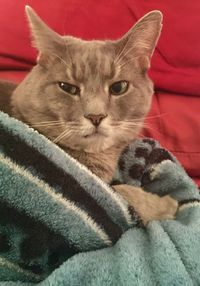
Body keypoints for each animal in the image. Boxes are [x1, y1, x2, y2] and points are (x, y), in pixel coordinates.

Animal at [0, 6, 177, 225]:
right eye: (67, 87)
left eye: (119, 87)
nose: (95, 116)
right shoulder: (93, 189)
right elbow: (122, 193)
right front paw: (167, 204)